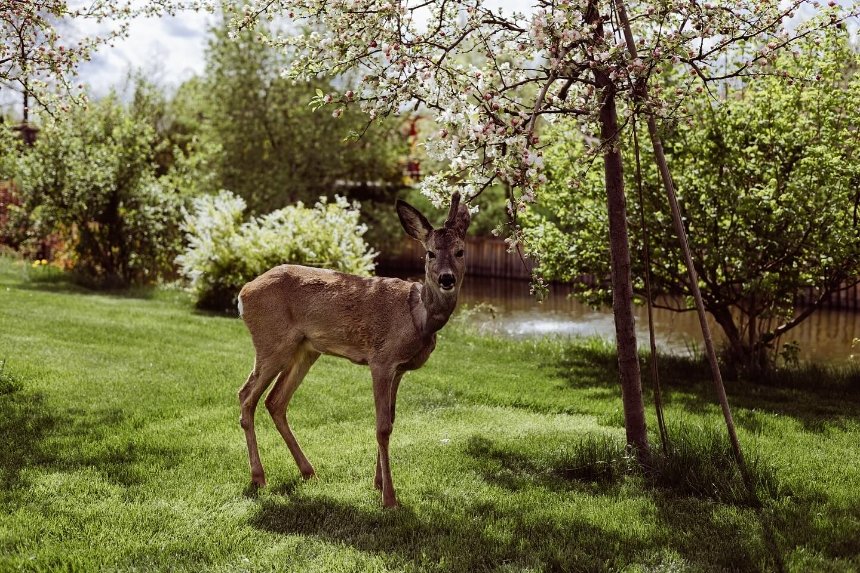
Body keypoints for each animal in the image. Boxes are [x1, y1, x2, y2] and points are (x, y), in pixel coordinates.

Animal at [237, 194, 470, 508]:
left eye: (460, 251)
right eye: (430, 253)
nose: (447, 279)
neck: (418, 317)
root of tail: (243, 293)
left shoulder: (399, 369)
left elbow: (391, 419)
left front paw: (378, 483)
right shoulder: (381, 360)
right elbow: (382, 427)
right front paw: (389, 497)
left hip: (305, 349)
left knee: (275, 400)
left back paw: (308, 471)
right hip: (271, 342)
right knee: (246, 395)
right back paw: (259, 477)